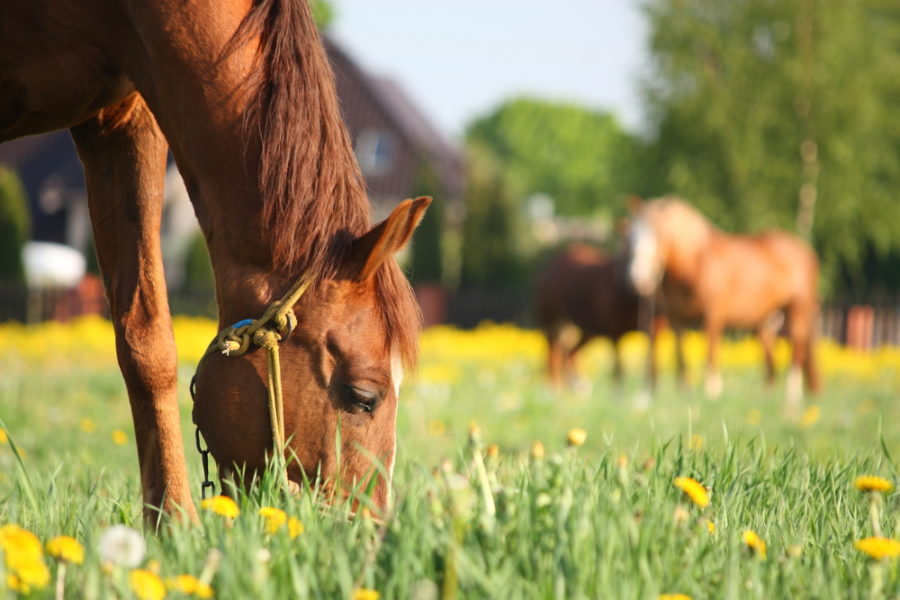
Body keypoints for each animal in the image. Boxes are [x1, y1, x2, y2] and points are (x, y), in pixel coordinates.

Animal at [536, 244, 644, 390]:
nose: (637, 280)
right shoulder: (614, 332)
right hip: (556, 323)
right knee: (556, 352)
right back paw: (557, 386)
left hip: (583, 332)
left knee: (569, 352)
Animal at [624, 197, 820, 408]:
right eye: (631, 237)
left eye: (659, 235)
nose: (639, 277)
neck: (694, 263)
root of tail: (805, 249)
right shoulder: (677, 317)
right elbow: (681, 356)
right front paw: (685, 393)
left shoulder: (713, 314)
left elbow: (711, 351)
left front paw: (711, 393)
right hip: (765, 320)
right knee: (770, 360)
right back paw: (766, 398)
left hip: (798, 308)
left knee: (797, 349)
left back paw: (791, 399)